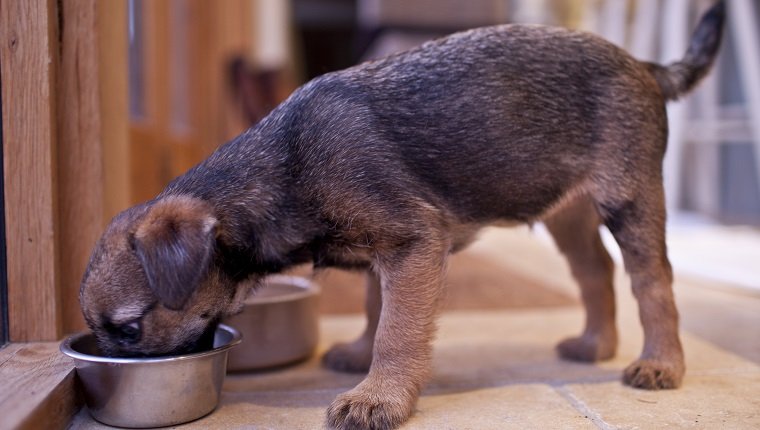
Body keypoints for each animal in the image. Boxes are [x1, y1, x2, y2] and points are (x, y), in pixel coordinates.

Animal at [78, 1, 724, 428]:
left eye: (130, 329)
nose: (108, 364)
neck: (285, 169)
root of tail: (645, 65)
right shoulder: (382, 252)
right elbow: (375, 308)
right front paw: (362, 356)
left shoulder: (413, 245)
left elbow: (398, 328)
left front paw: (378, 395)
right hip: (566, 212)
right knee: (595, 272)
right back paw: (595, 344)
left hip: (630, 200)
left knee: (652, 282)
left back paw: (660, 364)